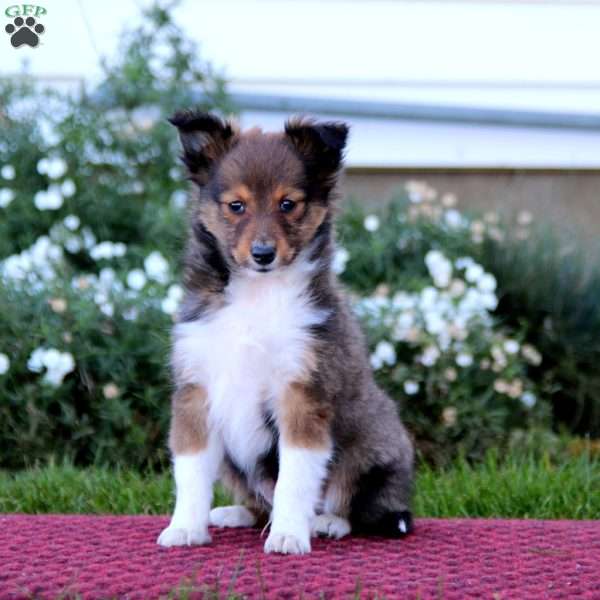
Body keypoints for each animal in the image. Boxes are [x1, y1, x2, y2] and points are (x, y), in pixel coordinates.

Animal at [157, 111, 414, 552]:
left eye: (288, 204)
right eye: (237, 206)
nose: (263, 254)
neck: (257, 295)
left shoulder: (302, 394)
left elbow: (294, 479)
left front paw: (289, 536)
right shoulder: (195, 391)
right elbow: (190, 472)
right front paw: (185, 528)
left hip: (371, 450)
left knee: (354, 503)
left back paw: (326, 522)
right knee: (259, 499)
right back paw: (237, 513)